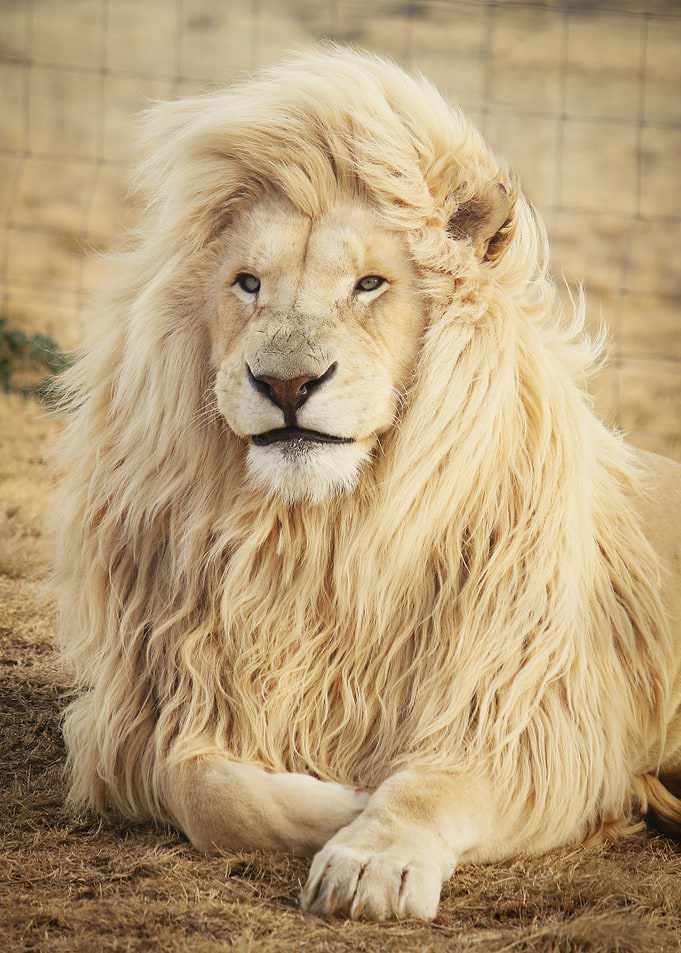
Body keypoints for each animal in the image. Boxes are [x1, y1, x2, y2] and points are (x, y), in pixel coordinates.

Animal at [54, 46, 681, 922]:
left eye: (369, 284)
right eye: (247, 283)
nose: (285, 383)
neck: (319, 537)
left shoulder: (528, 718)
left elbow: (428, 785)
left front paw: (368, 855)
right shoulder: (150, 712)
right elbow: (205, 786)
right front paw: (339, 801)